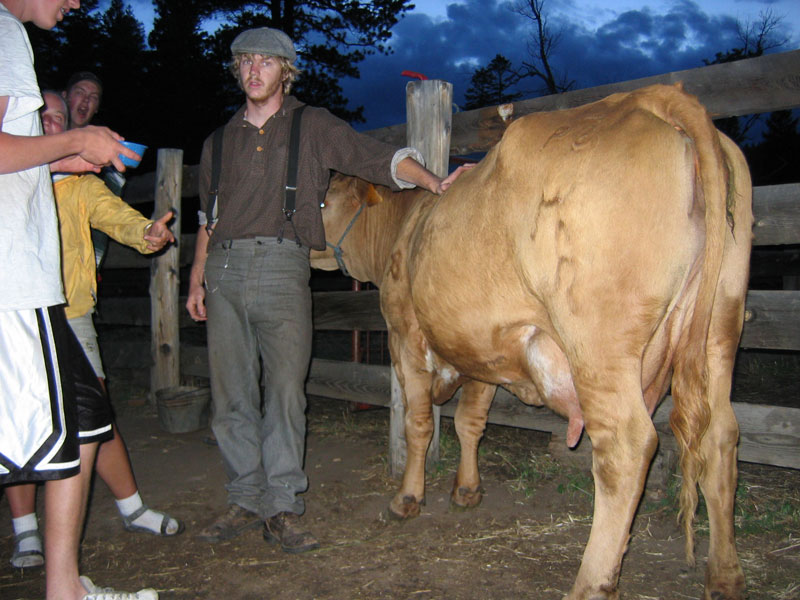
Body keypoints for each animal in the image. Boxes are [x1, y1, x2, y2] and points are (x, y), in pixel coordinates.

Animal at [310, 84, 752, 600]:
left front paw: (407, 497)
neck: (405, 228)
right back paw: (724, 574)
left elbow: (418, 425)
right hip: (720, 328)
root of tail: (651, 97)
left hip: (599, 343)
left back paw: (590, 582)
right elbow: (471, 423)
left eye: (325, 202)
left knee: (626, 447)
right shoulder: (483, 350)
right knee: (720, 435)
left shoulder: (405, 337)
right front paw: (467, 490)